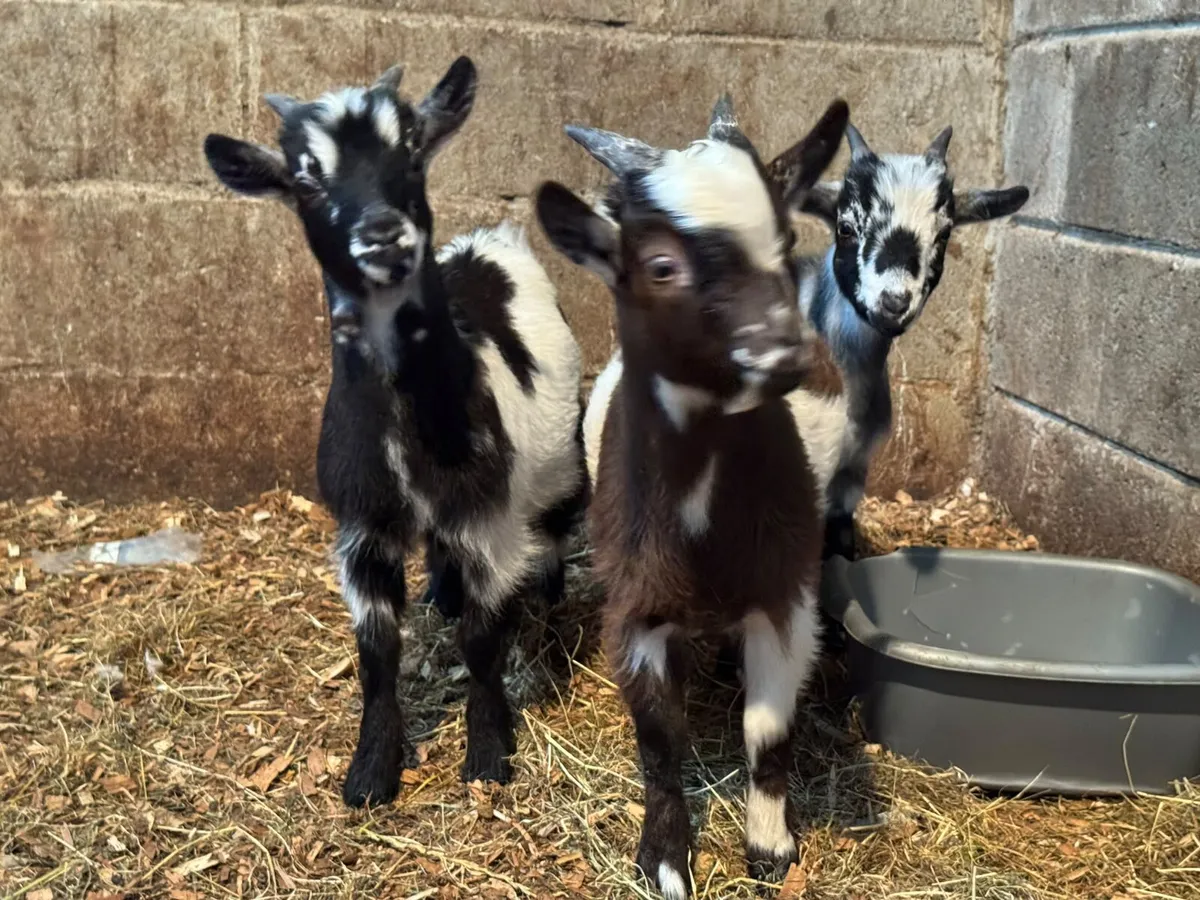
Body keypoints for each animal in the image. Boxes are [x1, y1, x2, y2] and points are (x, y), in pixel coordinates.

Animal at [203, 58, 587, 806]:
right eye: (306, 177)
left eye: (410, 150)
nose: (384, 233)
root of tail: (496, 239)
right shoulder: (362, 530)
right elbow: (376, 652)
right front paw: (370, 772)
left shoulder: (490, 523)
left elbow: (482, 643)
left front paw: (488, 755)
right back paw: (442, 591)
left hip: (560, 467)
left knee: (555, 530)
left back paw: (549, 606)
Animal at [536, 97, 848, 897]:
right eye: (661, 266)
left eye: (783, 239)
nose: (786, 355)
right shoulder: (635, 605)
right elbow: (659, 740)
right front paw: (666, 858)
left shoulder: (784, 594)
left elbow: (768, 731)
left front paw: (769, 844)